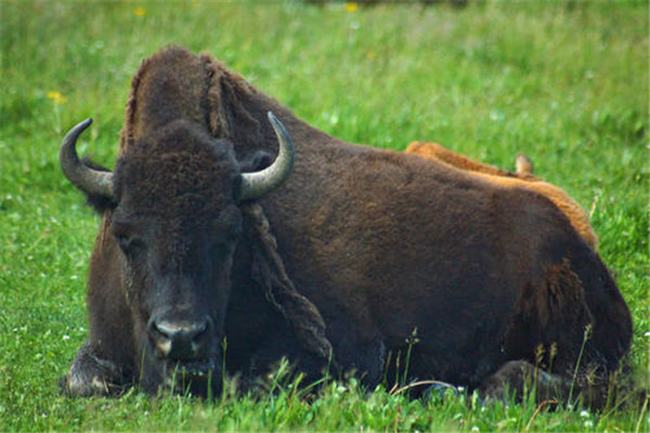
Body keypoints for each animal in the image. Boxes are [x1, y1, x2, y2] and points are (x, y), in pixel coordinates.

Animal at [59, 45, 628, 404]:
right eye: (126, 236)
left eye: (230, 236)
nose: (181, 338)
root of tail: (582, 253)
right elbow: (82, 379)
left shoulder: (345, 353)